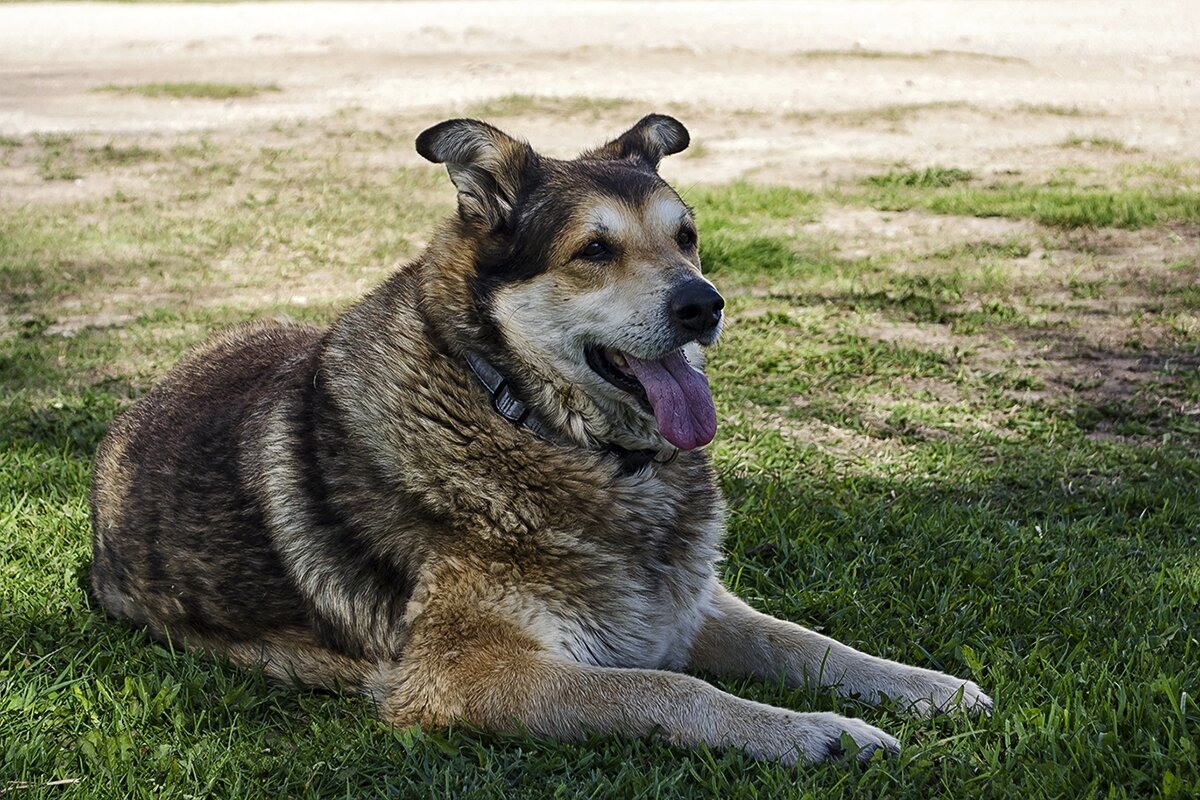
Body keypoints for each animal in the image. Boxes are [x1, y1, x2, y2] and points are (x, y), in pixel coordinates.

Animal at [88, 115, 993, 767]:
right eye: (594, 250)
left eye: (687, 236)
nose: (704, 304)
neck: (527, 418)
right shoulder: (465, 675)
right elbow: (667, 692)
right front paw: (816, 733)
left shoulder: (689, 607)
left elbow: (813, 643)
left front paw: (929, 687)